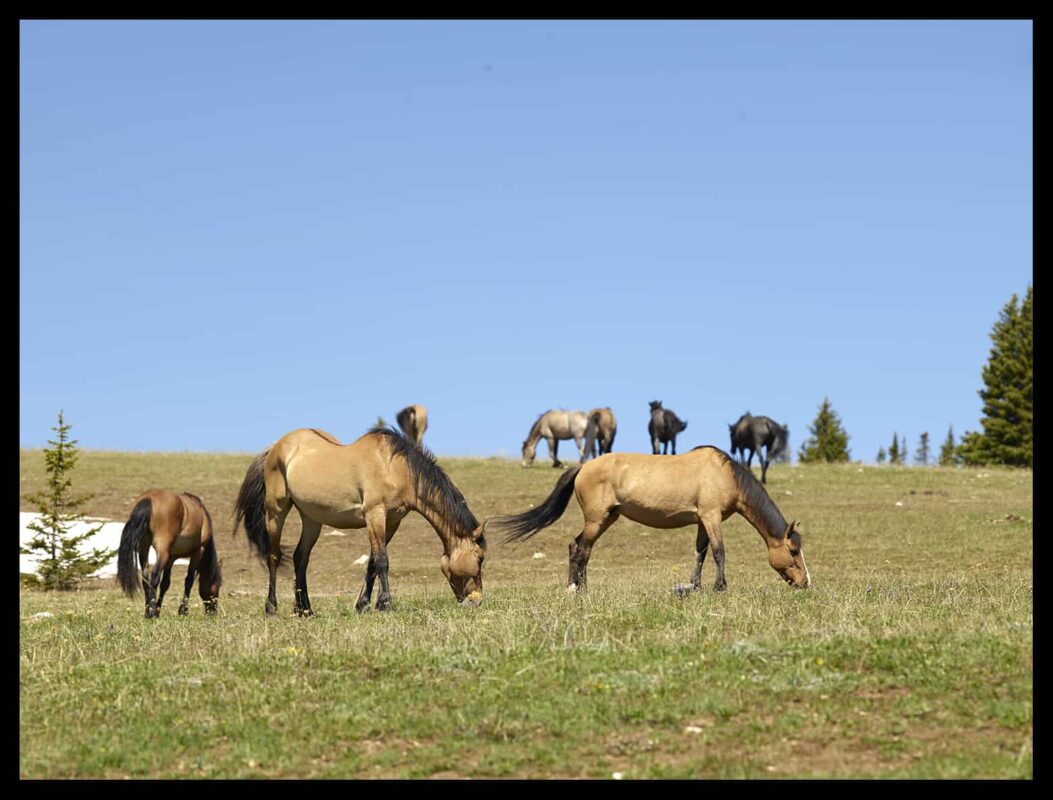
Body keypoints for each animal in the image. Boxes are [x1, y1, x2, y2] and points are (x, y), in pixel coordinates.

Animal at [116, 490, 223, 618]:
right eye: (219, 585)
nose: (213, 612)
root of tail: (149, 499)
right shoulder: (198, 552)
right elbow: (189, 580)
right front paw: (183, 610)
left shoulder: (172, 557)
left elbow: (165, 584)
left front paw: (158, 610)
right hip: (162, 551)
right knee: (155, 575)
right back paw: (151, 611)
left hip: (144, 548)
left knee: (145, 578)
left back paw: (147, 611)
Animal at [233, 427, 486, 616]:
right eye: (480, 559)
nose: (476, 601)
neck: (394, 467)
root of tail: (276, 446)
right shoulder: (374, 514)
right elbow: (382, 560)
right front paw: (385, 604)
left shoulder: (392, 521)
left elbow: (372, 562)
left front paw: (363, 605)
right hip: (276, 510)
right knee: (273, 556)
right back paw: (271, 608)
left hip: (311, 519)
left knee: (300, 558)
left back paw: (305, 610)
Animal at [489, 446, 810, 594]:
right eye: (793, 551)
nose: (805, 582)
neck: (724, 474)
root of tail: (583, 467)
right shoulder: (711, 516)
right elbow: (719, 552)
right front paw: (720, 587)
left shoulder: (702, 521)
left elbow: (701, 553)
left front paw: (695, 587)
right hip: (596, 519)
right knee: (581, 549)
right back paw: (577, 589)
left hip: (606, 518)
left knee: (579, 547)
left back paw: (579, 587)